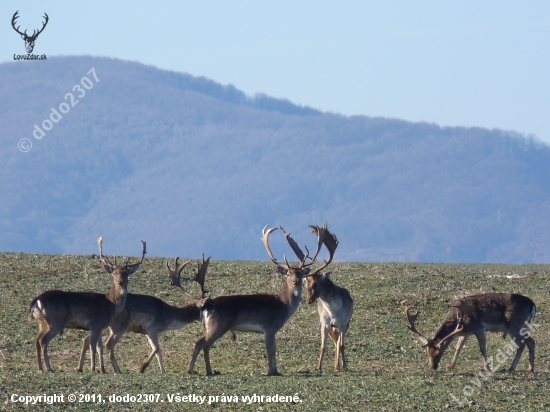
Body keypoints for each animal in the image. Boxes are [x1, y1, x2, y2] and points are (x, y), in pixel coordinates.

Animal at [28, 235, 146, 374]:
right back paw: (49, 368)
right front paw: (93, 369)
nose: (120, 281)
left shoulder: (100, 326)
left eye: (126, 273)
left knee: (36, 341)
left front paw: (102, 369)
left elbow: (100, 347)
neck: (111, 305)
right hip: (54, 321)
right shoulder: (95, 323)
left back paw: (40, 368)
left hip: (42, 322)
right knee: (43, 341)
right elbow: (93, 347)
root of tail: (37, 300)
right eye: (114, 272)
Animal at [78, 254, 212, 374]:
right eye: (206, 306)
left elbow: (159, 352)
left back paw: (82, 368)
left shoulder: (149, 332)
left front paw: (163, 371)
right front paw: (142, 368)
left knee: (86, 339)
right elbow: (157, 348)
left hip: (103, 326)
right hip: (118, 326)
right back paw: (116, 370)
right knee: (107, 344)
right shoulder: (151, 328)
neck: (169, 319)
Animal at [188, 224, 336, 374]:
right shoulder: (269, 326)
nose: (295, 281)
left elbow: (273, 350)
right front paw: (272, 372)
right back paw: (190, 369)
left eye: (300, 273)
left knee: (205, 345)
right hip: (218, 325)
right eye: (288, 273)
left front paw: (275, 371)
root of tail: (208, 305)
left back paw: (209, 371)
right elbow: (271, 350)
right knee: (199, 342)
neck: (283, 306)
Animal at [306, 225, 354, 374]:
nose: (309, 300)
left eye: (316, 283)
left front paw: (344, 366)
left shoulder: (343, 323)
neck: (333, 311)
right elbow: (323, 346)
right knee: (336, 339)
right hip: (332, 327)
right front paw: (318, 367)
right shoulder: (325, 323)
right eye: (306, 283)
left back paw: (339, 365)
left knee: (339, 342)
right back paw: (336, 365)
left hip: (347, 323)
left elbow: (342, 345)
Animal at [406, 292, 540, 374]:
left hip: (514, 325)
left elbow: (482, 348)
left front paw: (487, 368)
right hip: (521, 327)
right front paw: (451, 365)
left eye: (440, 353)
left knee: (522, 344)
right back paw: (530, 368)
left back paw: (512, 367)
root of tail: (533, 305)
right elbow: (458, 347)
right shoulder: (465, 333)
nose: (432, 367)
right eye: (427, 353)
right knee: (531, 342)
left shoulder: (479, 328)